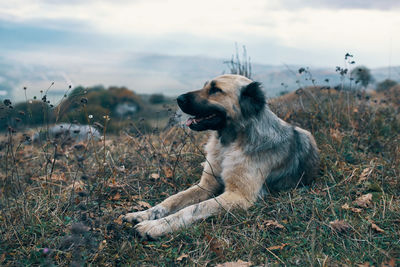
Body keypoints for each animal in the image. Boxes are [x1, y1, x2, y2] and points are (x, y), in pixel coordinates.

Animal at [122, 74, 318, 240]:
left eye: (216, 90)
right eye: (205, 86)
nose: (179, 98)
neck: (229, 143)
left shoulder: (238, 196)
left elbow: (193, 208)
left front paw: (155, 226)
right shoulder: (206, 185)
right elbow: (173, 199)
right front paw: (143, 214)